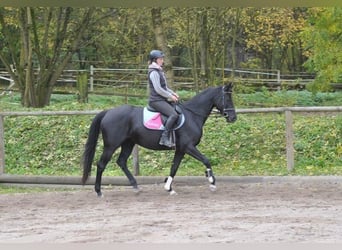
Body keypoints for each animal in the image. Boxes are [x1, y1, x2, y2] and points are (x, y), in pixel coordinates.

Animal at [82, 83, 236, 196]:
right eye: (228, 99)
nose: (233, 118)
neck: (192, 115)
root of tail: (108, 112)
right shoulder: (188, 146)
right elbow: (206, 160)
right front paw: (212, 181)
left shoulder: (181, 149)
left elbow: (174, 167)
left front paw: (169, 188)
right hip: (111, 145)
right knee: (101, 164)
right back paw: (99, 192)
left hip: (128, 143)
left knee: (121, 162)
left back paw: (135, 186)